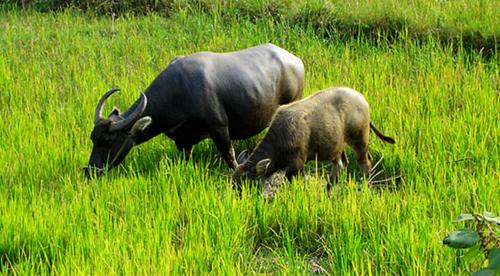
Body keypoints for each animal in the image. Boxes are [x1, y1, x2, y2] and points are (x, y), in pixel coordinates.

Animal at [85, 43, 304, 177]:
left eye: (110, 140)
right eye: (93, 138)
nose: (90, 171)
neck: (179, 92)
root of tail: (296, 61)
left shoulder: (220, 130)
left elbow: (230, 157)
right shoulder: (182, 141)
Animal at [233, 87, 394, 189]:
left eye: (247, 182)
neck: (280, 138)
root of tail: (362, 100)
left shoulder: (296, 164)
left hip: (360, 140)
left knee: (365, 163)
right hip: (338, 146)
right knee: (340, 165)